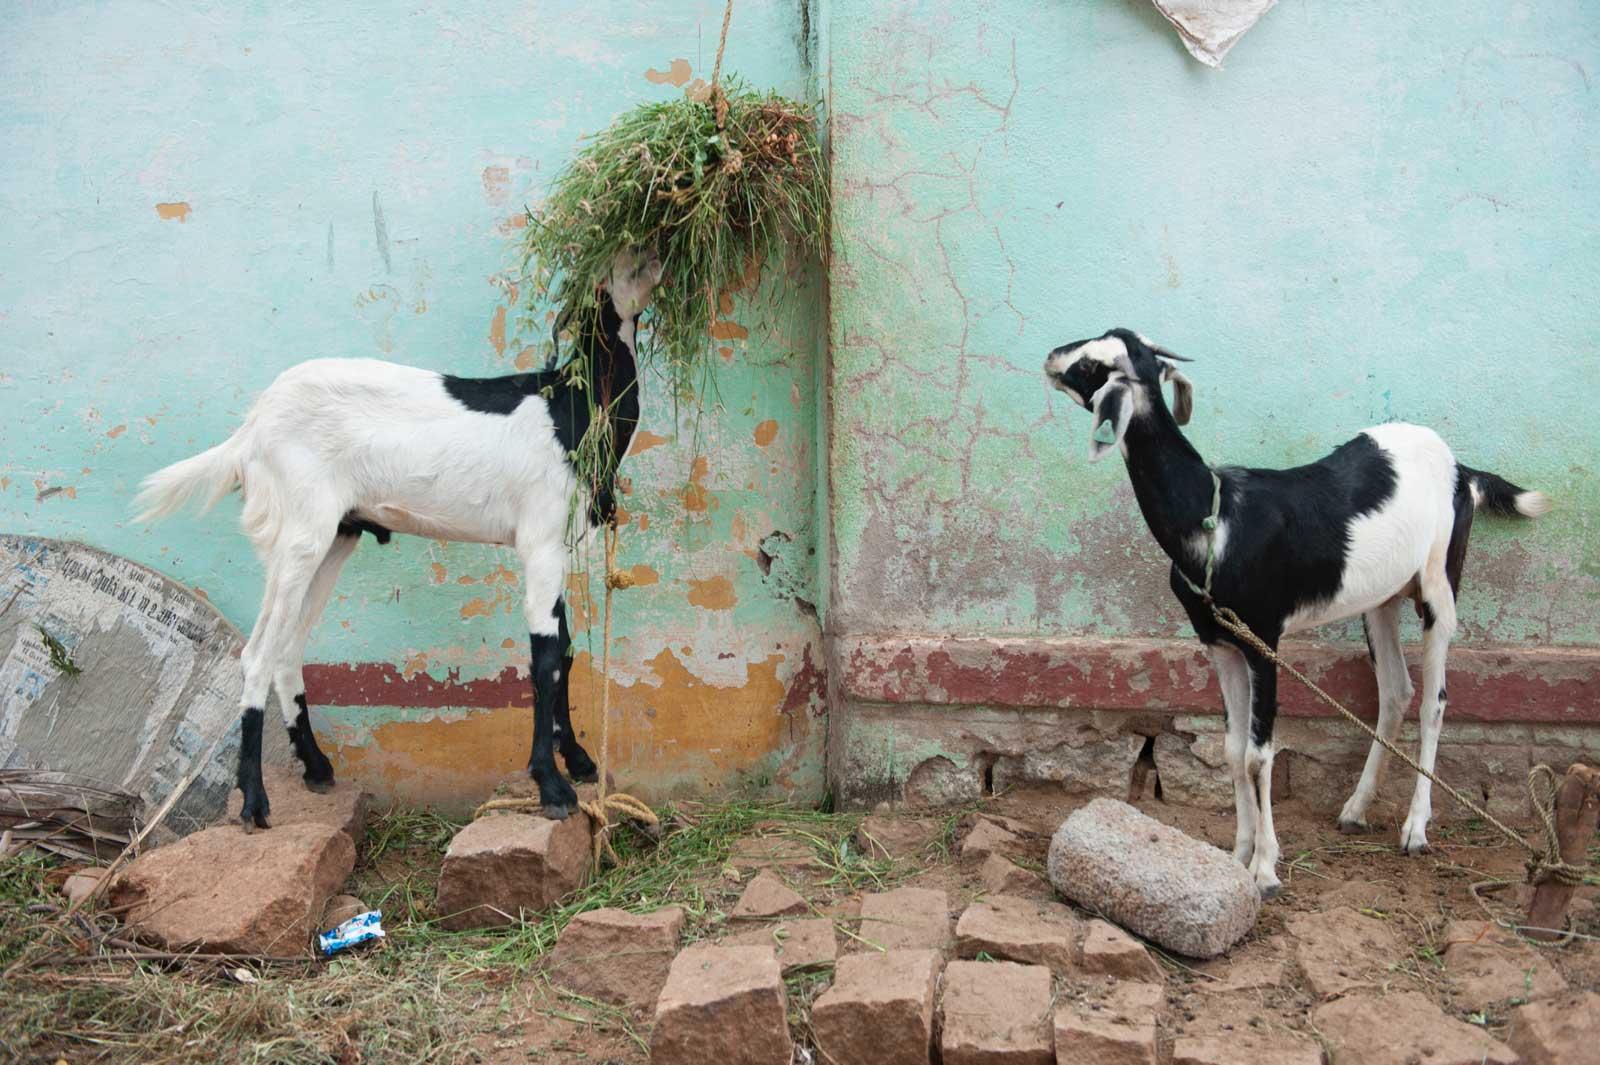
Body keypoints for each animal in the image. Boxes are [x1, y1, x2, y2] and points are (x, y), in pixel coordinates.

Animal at [134, 249, 663, 828]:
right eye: (613, 267)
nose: (653, 248)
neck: (571, 406)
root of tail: (251, 428)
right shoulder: (540, 542)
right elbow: (544, 659)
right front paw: (552, 786)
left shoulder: (559, 548)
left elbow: (564, 652)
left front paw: (580, 761)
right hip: (300, 534)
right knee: (257, 654)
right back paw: (254, 803)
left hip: (335, 537)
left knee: (288, 647)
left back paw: (316, 768)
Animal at [1044, 328, 1549, 895]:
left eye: (1091, 364)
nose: (1050, 358)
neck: (1216, 520)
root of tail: (1463, 470)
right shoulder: (1220, 643)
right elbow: (1232, 750)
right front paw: (1239, 854)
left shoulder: (1264, 638)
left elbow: (1259, 753)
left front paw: (1265, 868)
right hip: (1379, 601)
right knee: (1396, 691)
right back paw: (1355, 808)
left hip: (1440, 584)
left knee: (1433, 702)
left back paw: (1416, 829)